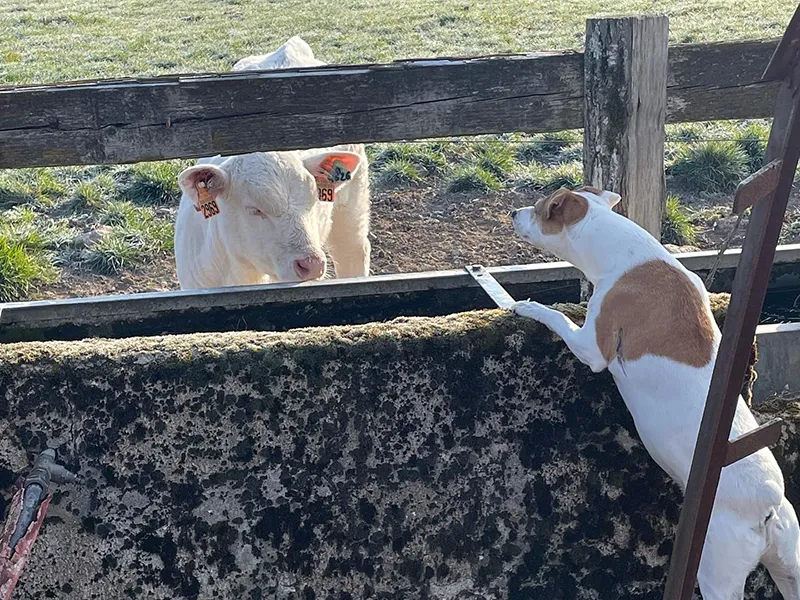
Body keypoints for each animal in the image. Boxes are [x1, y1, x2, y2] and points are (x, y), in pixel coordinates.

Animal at [512, 188, 800, 600]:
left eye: (538, 210)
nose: (513, 213)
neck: (629, 253)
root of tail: (768, 507)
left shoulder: (591, 348)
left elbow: (558, 319)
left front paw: (529, 306)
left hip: (718, 575)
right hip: (791, 567)